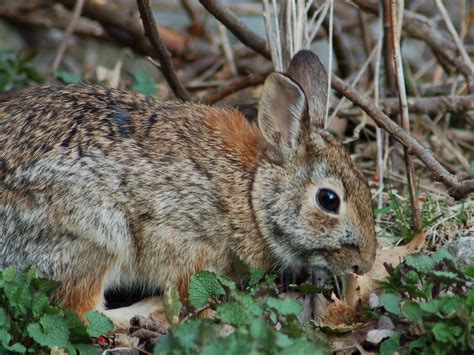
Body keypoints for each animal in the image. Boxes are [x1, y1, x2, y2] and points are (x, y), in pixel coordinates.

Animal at [0, 50, 378, 326]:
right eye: (328, 200)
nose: (365, 263)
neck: (252, 193)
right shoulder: (187, 247)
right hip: (95, 238)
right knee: (84, 312)